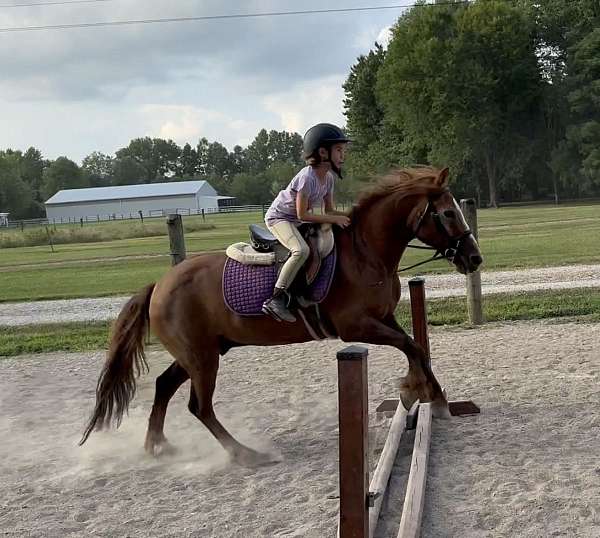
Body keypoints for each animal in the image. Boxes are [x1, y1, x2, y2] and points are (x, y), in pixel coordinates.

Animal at [81, 165, 482, 462]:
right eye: (448, 213)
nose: (475, 258)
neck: (366, 252)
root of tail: (159, 285)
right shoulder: (356, 327)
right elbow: (410, 347)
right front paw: (420, 392)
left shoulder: (383, 318)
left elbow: (415, 346)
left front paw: (430, 394)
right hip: (202, 358)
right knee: (200, 407)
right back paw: (245, 454)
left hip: (199, 353)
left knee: (165, 386)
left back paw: (157, 446)